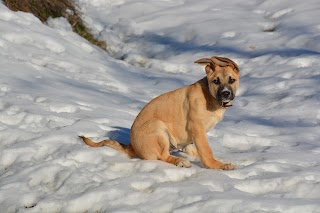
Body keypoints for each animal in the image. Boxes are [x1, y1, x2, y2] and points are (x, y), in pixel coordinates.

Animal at [80, 56, 240, 170]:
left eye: (231, 80)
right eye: (216, 81)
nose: (226, 94)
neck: (211, 97)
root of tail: (132, 146)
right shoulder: (197, 128)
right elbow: (206, 151)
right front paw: (217, 165)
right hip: (158, 127)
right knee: (163, 156)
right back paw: (180, 161)